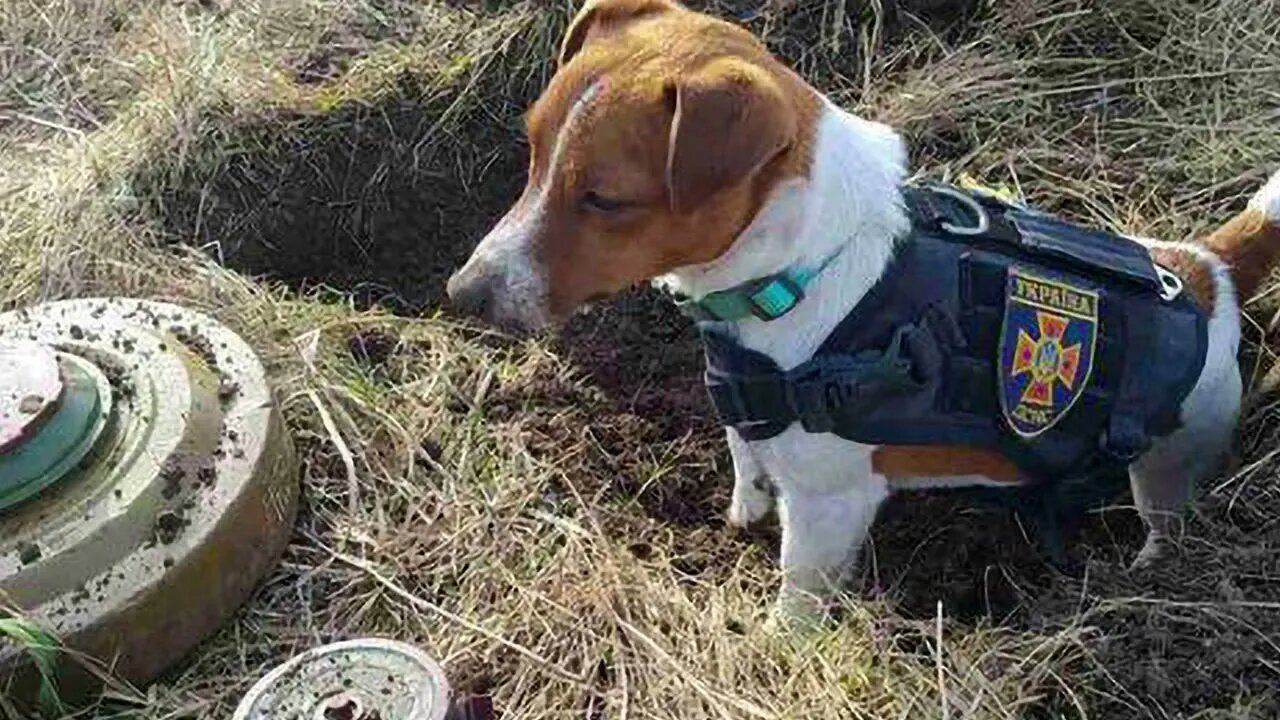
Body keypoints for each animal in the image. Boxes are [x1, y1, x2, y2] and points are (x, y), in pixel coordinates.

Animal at [445, 0, 1280, 622]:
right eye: (531, 150)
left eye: (605, 199)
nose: (463, 292)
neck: (800, 266)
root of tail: (1206, 269)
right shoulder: (749, 411)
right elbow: (747, 462)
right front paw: (740, 514)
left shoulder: (829, 507)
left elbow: (797, 596)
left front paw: (777, 648)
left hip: (1172, 460)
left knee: (1167, 520)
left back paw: (1145, 574)